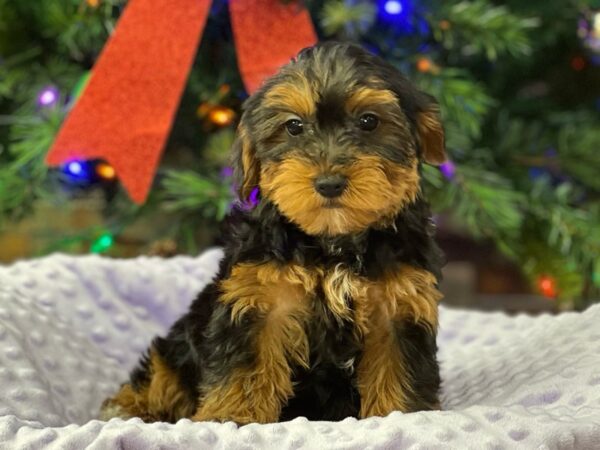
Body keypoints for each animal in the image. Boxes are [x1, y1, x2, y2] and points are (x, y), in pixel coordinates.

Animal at [99, 42, 446, 426]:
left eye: (369, 121)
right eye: (294, 126)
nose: (329, 183)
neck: (333, 243)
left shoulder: (398, 304)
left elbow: (397, 366)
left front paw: (400, 415)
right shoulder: (260, 296)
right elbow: (246, 365)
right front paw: (231, 416)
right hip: (179, 342)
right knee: (162, 369)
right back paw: (127, 407)